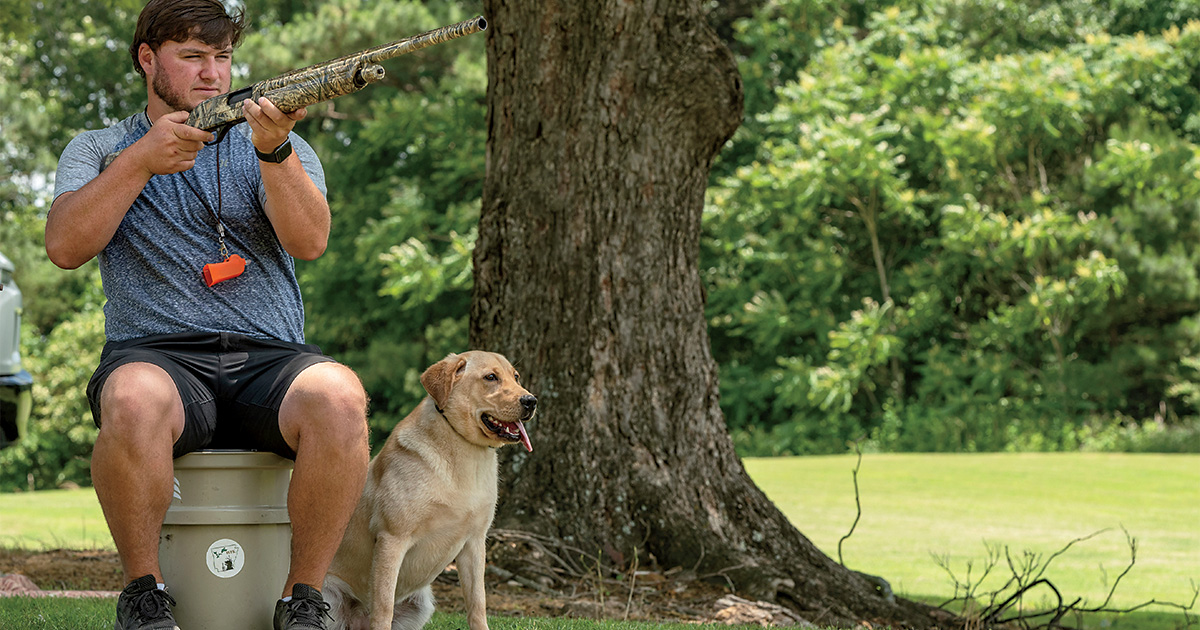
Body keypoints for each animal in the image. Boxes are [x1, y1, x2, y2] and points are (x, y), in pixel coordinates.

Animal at [326, 350, 537, 624]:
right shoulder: (392, 539)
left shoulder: (474, 543)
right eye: (491, 377)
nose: (531, 401)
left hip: (421, 603)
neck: (464, 450)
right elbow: (383, 606)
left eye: (516, 376)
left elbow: (477, 603)